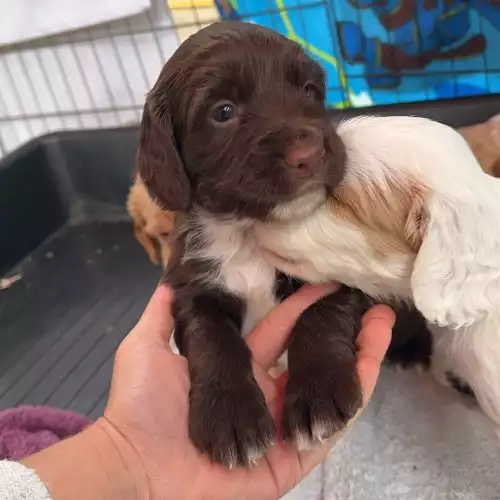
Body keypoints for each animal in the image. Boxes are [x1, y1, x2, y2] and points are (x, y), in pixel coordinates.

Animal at [135, 21, 374, 466]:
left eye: (310, 91)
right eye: (223, 112)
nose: (310, 153)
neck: (248, 233)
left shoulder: (340, 272)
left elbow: (321, 312)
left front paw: (319, 393)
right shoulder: (193, 288)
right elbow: (212, 339)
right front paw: (230, 417)